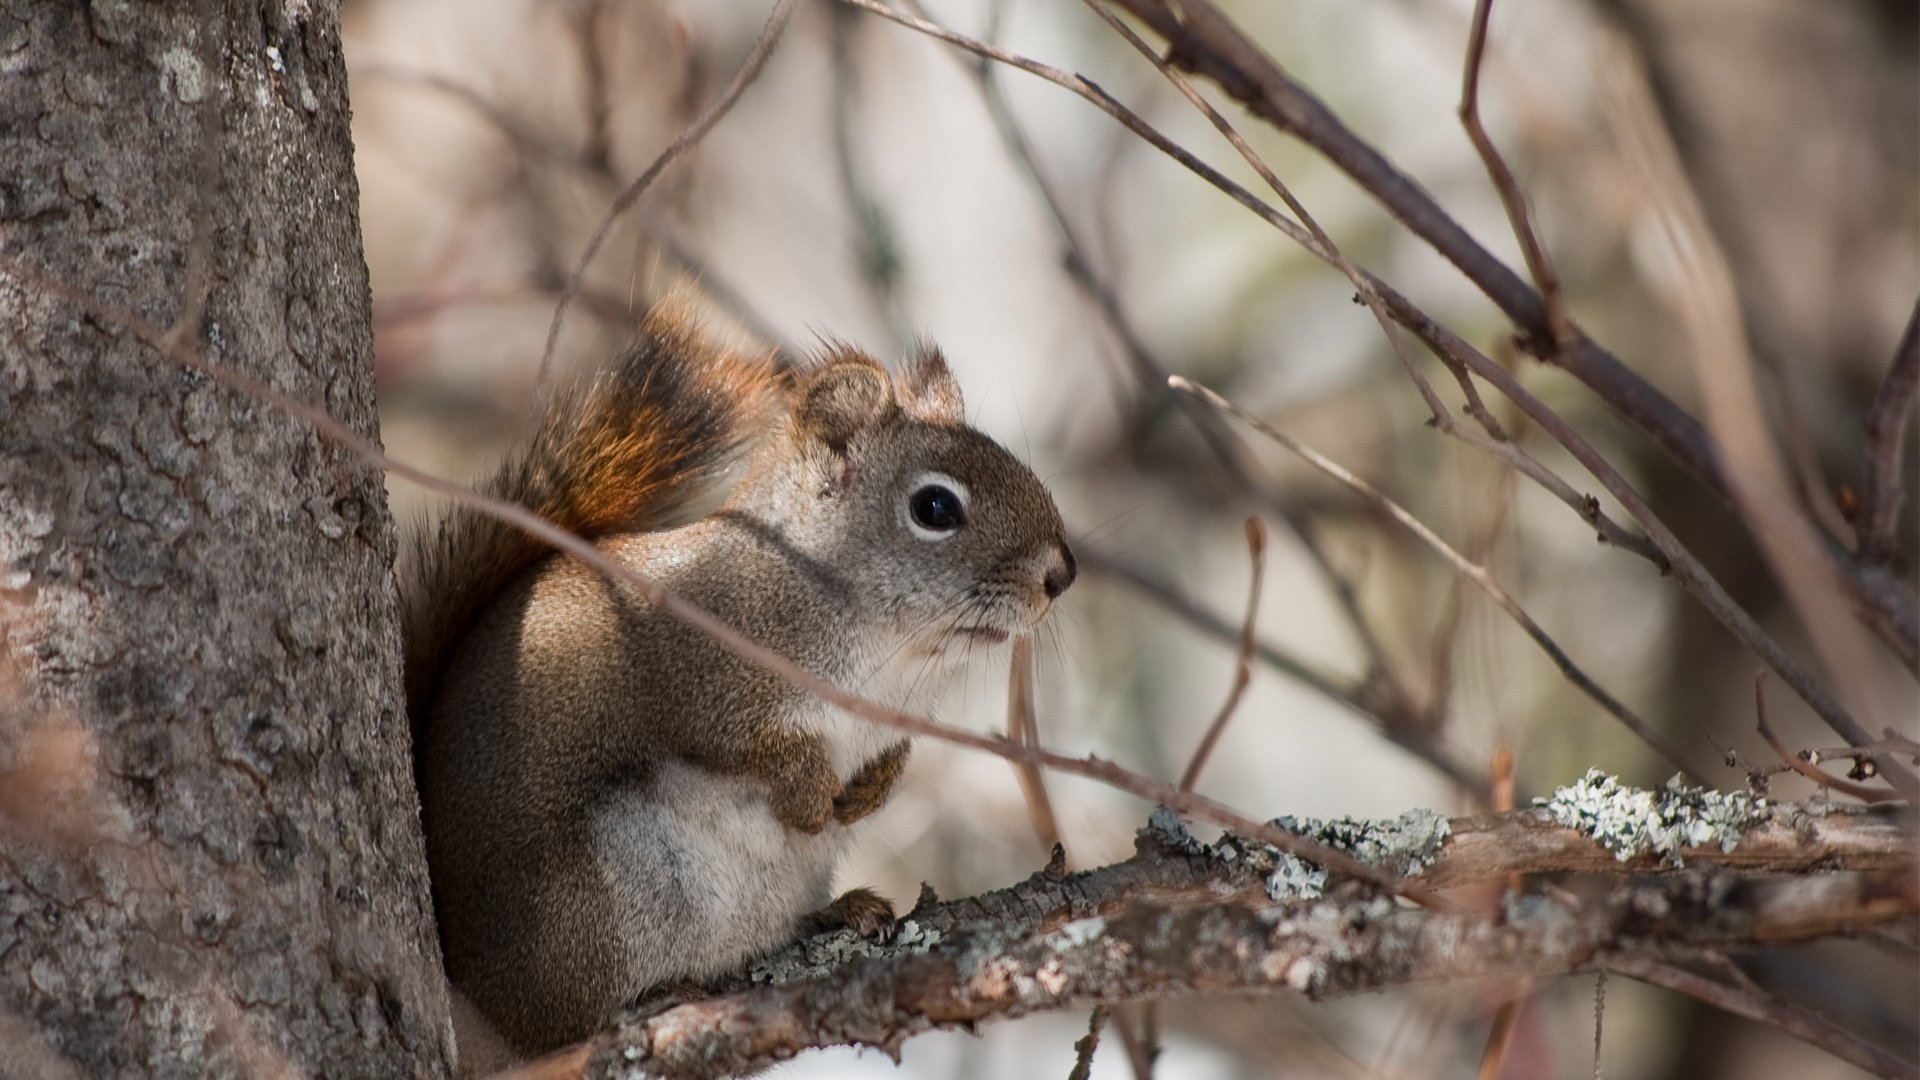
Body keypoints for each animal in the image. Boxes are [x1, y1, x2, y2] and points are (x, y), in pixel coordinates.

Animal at [401, 297, 1082, 1053]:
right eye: (935, 508)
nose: (1061, 573)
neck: (888, 652)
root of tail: (469, 986)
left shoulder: (890, 716)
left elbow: (891, 755)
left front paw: (869, 790)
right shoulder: (699, 675)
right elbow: (741, 747)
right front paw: (811, 793)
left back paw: (838, 912)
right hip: (592, 915)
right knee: (557, 1025)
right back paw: (652, 996)